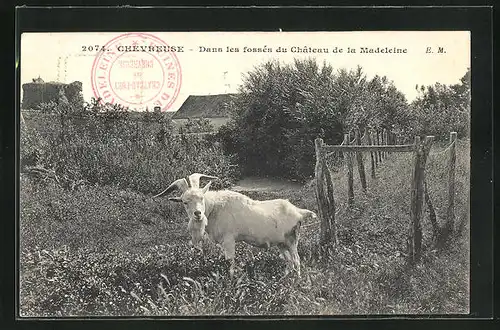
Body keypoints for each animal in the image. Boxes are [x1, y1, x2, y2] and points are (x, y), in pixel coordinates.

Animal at [152, 173, 316, 276]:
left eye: (201, 198)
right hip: (282, 244)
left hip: (292, 240)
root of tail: (298, 211)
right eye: (185, 202)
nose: (198, 214)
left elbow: (230, 263)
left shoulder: (229, 240)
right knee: (290, 262)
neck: (215, 207)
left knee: (297, 261)